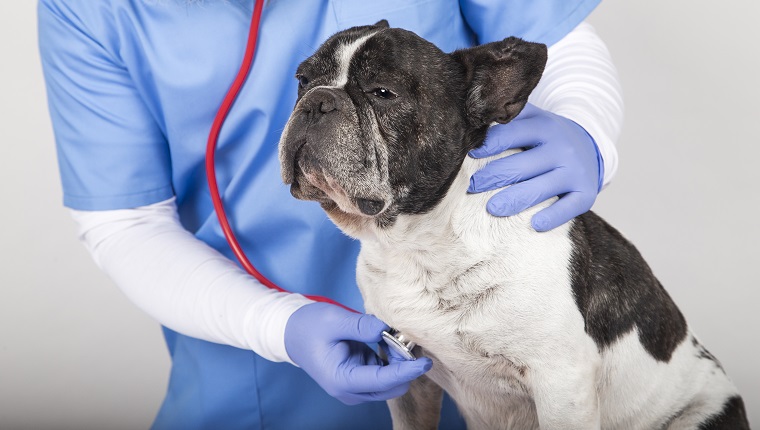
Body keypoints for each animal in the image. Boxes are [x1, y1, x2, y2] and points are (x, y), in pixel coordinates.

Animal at [278, 21, 748, 428]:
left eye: (383, 92)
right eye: (302, 80)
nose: (317, 100)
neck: (419, 244)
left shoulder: (562, 385)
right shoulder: (408, 378)